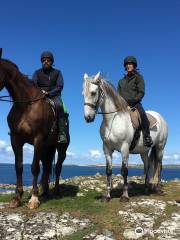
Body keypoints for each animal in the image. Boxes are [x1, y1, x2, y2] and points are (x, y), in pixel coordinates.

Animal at [0, 50, 69, 208]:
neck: (25, 105)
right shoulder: (16, 140)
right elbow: (18, 167)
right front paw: (17, 198)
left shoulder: (37, 139)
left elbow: (34, 167)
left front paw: (33, 199)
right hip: (46, 149)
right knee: (47, 167)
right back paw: (45, 192)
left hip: (60, 148)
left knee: (57, 168)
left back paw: (56, 191)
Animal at [82, 71, 168, 201]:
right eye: (83, 94)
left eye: (93, 93)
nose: (88, 117)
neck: (112, 121)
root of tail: (160, 117)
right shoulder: (107, 149)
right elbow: (108, 171)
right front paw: (107, 195)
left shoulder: (124, 148)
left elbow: (124, 171)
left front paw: (125, 196)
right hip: (144, 151)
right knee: (147, 165)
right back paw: (146, 188)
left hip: (160, 148)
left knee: (159, 165)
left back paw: (157, 188)